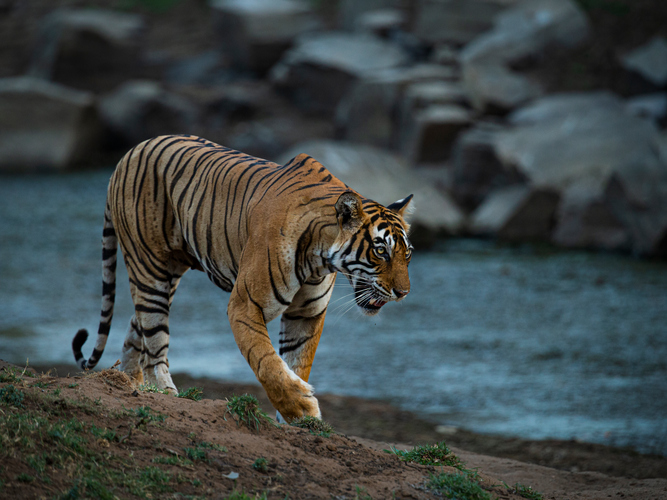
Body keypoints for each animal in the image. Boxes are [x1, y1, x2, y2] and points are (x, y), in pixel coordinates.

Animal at [70, 134, 410, 422]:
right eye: (381, 251)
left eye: (407, 254)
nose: (403, 293)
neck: (320, 258)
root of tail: (129, 153)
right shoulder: (246, 305)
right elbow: (267, 362)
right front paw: (301, 408)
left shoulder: (306, 314)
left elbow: (297, 362)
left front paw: (296, 422)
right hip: (149, 267)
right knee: (154, 338)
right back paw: (164, 392)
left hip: (169, 272)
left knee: (136, 325)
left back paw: (129, 384)